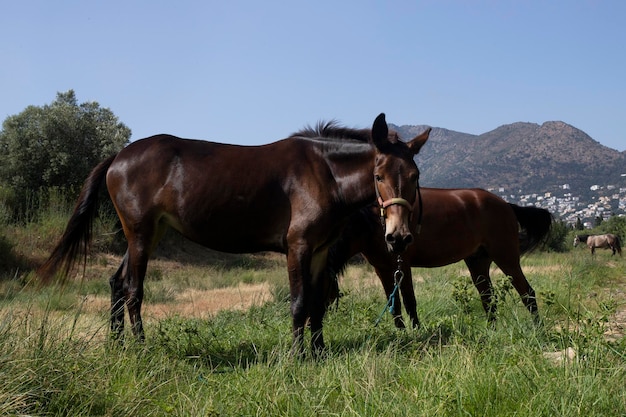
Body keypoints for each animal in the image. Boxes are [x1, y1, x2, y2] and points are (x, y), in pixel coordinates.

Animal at [36, 113, 428, 354]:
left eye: (415, 175)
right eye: (378, 176)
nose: (399, 237)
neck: (325, 173)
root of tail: (118, 155)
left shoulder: (319, 251)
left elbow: (317, 303)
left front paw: (319, 353)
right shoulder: (298, 246)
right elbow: (300, 303)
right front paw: (298, 356)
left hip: (148, 234)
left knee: (117, 283)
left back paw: (117, 347)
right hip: (141, 234)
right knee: (133, 290)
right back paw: (142, 349)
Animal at [326, 188, 552, 328]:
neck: (374, 222)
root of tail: (507, 205)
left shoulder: (403, 266)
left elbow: (410, 302)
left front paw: (416, 331)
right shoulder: (382, 269)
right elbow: (394, 305)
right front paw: (400, 333)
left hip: (506, 258)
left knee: (527, 293)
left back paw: (538, 328)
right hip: (478, 262)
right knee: (488, 298)